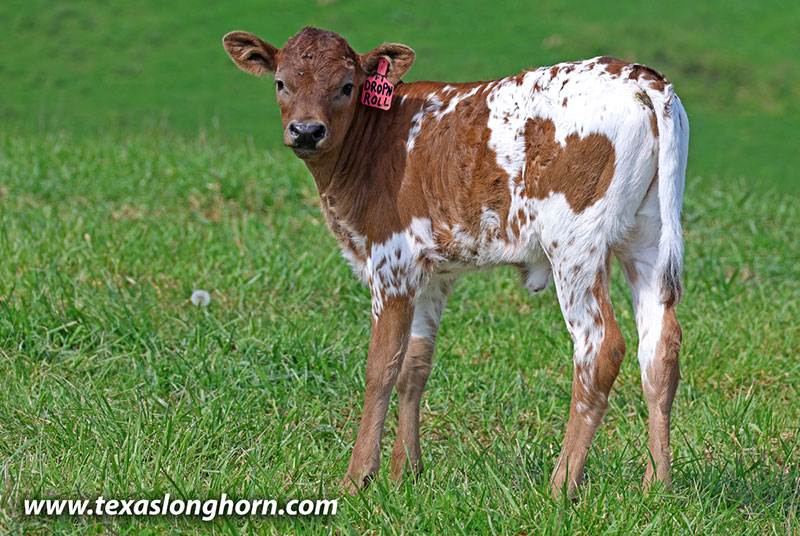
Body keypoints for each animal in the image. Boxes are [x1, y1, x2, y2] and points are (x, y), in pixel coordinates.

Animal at [222, 26, 689, 497]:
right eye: (281, 83)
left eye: (347, 86)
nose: (306, 131)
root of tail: (639, 77)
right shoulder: (429, 275)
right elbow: (414, 366)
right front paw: (405, 472)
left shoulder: (391, 263)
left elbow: (381, 368)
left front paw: (358, 478)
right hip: (646, 238)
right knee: (660, 347)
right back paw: (657, 483)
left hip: (575, 244)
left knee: (600, 347)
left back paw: (561, 487)